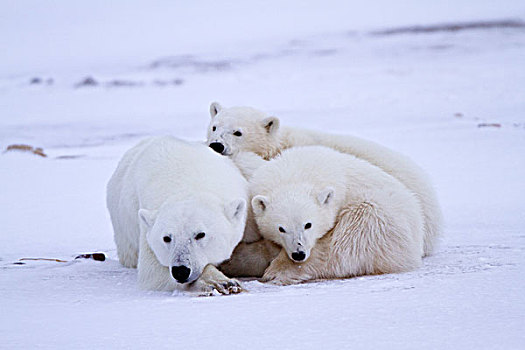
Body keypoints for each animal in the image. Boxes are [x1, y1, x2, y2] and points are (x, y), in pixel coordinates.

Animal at [106, 137, 248, 296]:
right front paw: (220, 282)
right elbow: (152, 271)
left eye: (200, 234)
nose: (180, 271)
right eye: (166, 238)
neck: (187, 184)